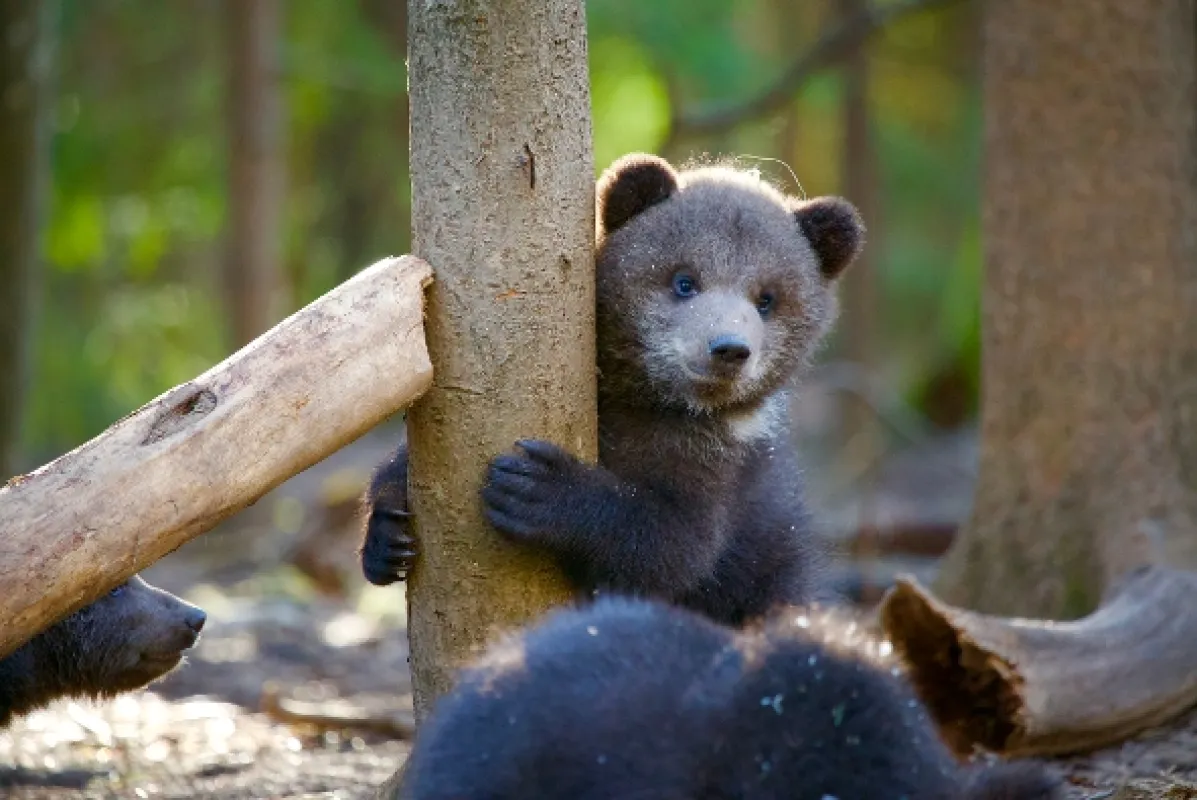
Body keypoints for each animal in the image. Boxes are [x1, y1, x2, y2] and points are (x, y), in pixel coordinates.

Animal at [360, 152, 865, 627]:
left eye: (766, 299)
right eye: (685, 281)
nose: (729, 349)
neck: (649, 399)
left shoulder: (719, 470)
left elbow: (673, 549)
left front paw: (540, 487)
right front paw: (388, 533)